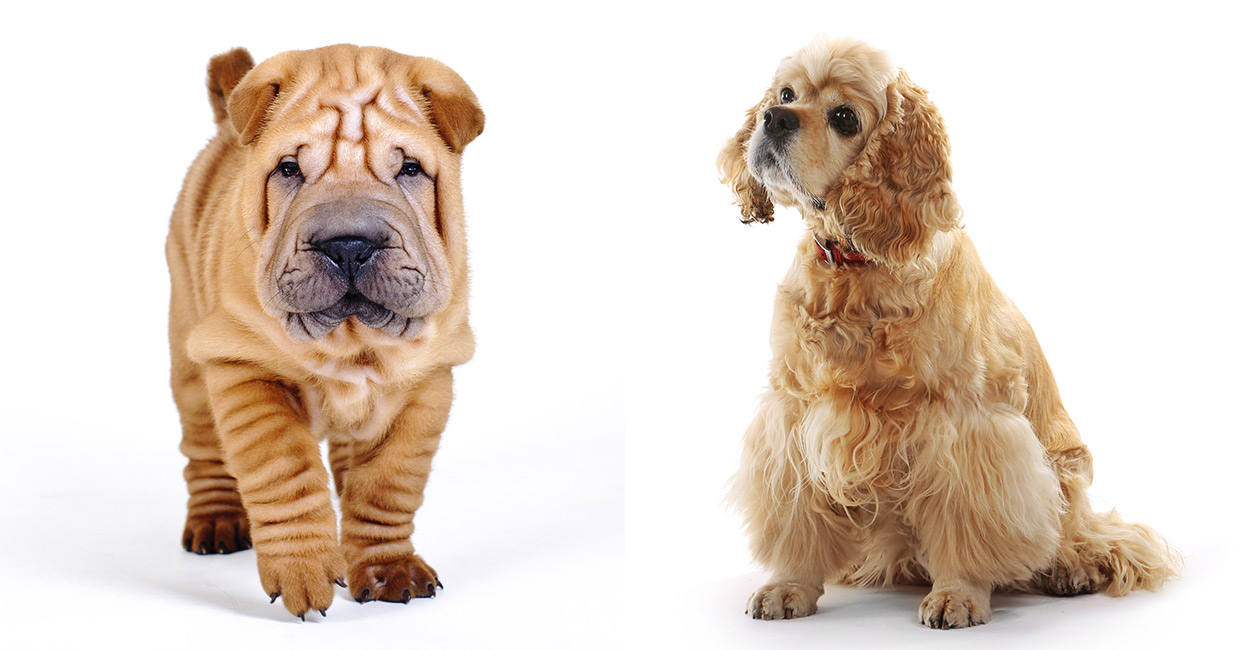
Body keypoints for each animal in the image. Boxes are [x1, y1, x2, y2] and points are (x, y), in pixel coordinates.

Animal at [163, 46, 480, 620]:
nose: (349, 244)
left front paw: (387, 569)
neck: (351, 340)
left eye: (409, 169)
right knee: (204, 448)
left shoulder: (428, 383)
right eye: (289, 169)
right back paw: (216, 523)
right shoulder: (244, 369)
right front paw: (303, 572)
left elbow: (388, 483)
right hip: (188, 355)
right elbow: (284, 469)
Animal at [720, 38, 1175, 627]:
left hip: (1067, 472)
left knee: (1088, 537)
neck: (857, 269)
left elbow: (965, 522)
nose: (773, 119)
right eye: (785, 94)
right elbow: (796, 512)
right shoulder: (793, 413)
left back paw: (1068, 569)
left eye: (844, 118)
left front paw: (958, 594)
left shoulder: (963, 425)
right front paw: (788, 584)